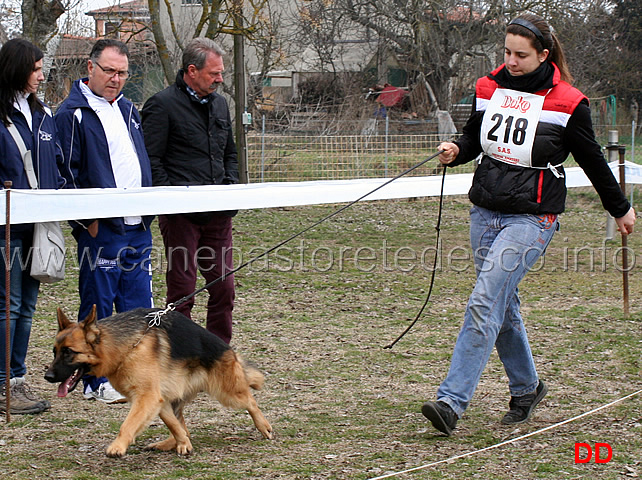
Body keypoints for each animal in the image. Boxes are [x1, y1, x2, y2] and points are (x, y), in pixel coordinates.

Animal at [43, 308, 274, 458]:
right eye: (55, 352)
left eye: (69, 352)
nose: (48, 376)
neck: (125, 346)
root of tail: (229, 350)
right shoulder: (155, 400)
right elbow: (173, 424)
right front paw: (184, 444)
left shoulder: (147, 398)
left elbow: (128, 424)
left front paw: (118, 446)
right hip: (173, 397)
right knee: (181, 423)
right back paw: (171, 443)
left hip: (228, 392)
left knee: (251, 401)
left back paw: (263, 425)